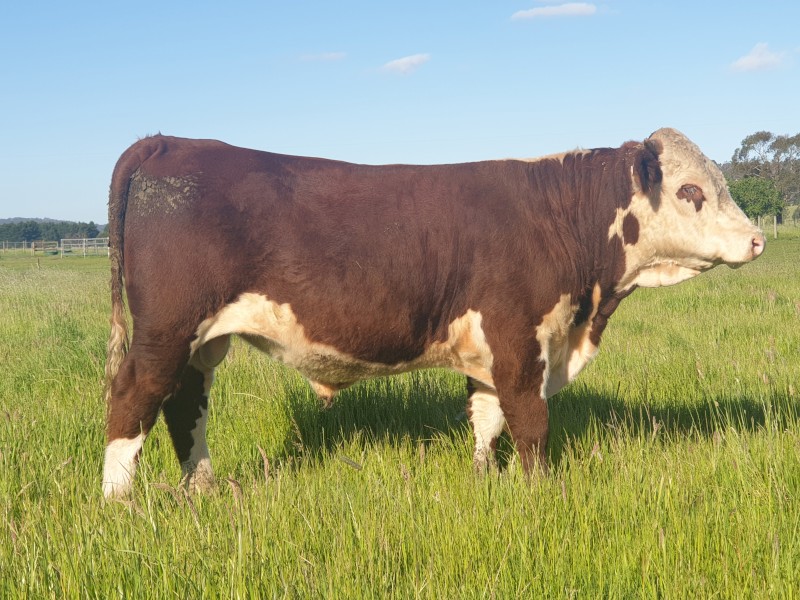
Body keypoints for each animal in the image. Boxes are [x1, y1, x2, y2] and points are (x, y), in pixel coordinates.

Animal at [102, 128, 765, 498]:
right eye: (690, 191)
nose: (758, 240)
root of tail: (169, 140)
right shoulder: (520, 339)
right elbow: (530, 422)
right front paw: (539, 494)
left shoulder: (494, 348)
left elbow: (486, 417)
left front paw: (483, 481)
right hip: (166, 330)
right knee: (133, 396)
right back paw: (118, 503)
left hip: (201, 341)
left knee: (185, 405)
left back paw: (205, 490)